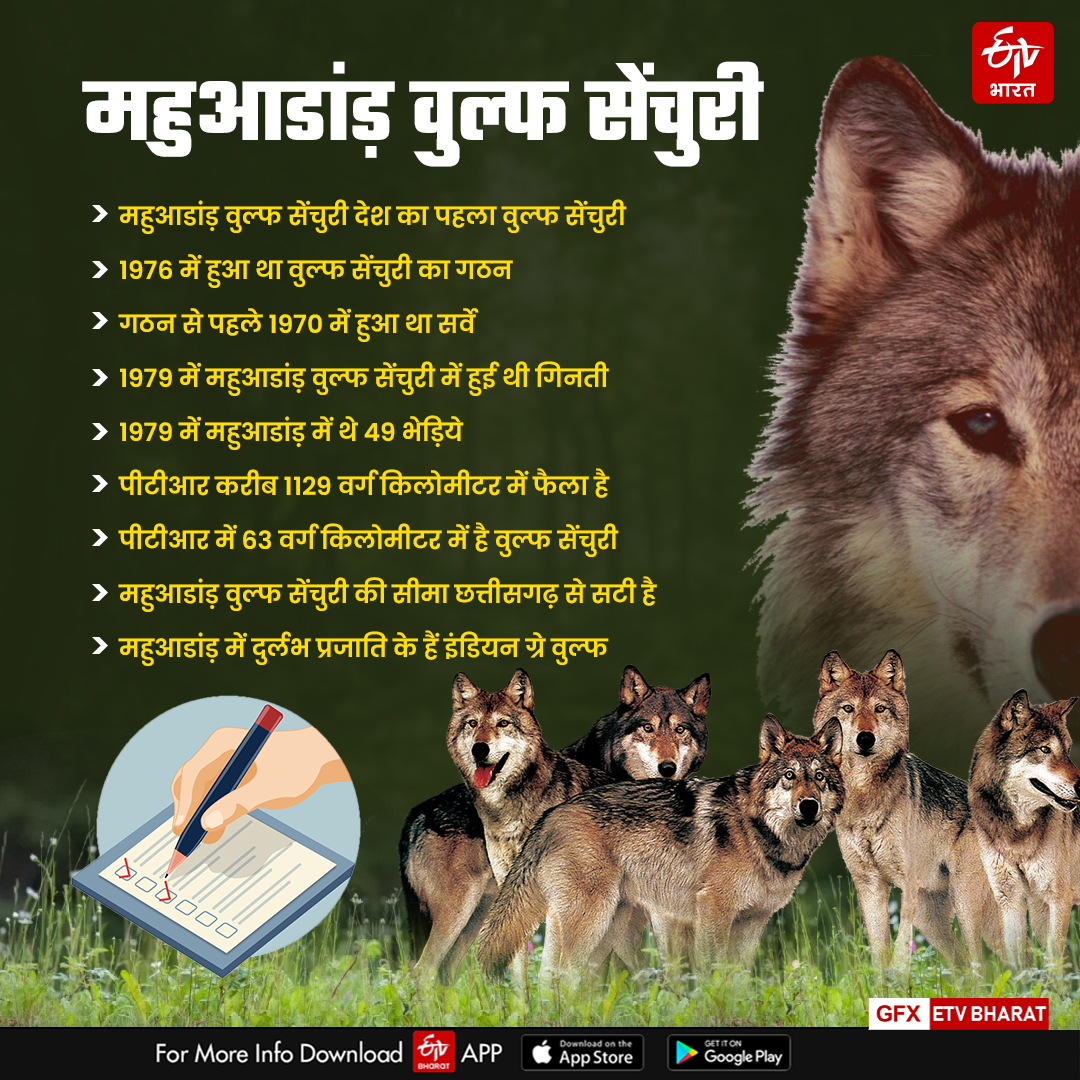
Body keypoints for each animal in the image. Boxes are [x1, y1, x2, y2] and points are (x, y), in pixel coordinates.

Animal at [400, 665, 710, 981]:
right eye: (648, 728)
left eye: (680, 729)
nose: (667, 767)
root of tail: (417, 815)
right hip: (462, 913)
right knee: (424, 971)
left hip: (480, 915)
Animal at [477, 714, 843, 985]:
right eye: (789, 776)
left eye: (819, 777)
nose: (809, 806)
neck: (759, 831)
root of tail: (551, 815)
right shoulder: (713, 912)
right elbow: (712, 978)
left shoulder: (753, 922)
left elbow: (737, 982)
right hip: (591, 924)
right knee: (560, 977)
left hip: (603, 930)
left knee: (556, 979)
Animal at [812, 649, 996, 969]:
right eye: (848, 708)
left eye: (880, 708)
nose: (865, 738)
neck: (865, 799)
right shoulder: (869, 885)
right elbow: (879, 954)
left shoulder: (907, 883)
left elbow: (900, 951)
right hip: (933, 918)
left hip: (966, 907)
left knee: (984, 965)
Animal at [962, 690, 1080, 968]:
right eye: (1045, 749)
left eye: (1068, 750)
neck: (1016, 836)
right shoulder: (1011, 901)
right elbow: (1019, 965)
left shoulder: (1059, 899)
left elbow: (1055, 965)